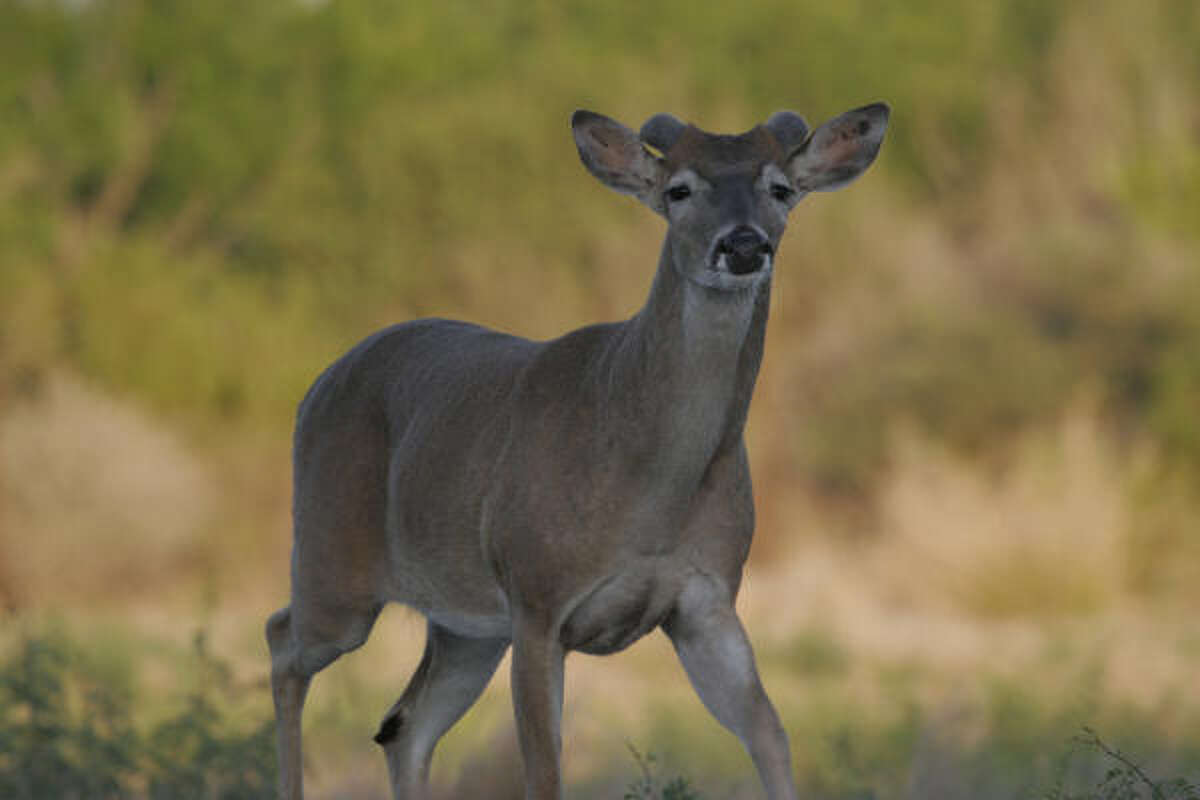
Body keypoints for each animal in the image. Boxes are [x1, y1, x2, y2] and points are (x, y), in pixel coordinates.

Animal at [266, 101, 889, 800]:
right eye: (678, 190)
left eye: (780, 188)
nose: (745, 245)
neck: (649, 487)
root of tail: (316, 387)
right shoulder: (538, 601)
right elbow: (544, 771)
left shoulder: (706, 601)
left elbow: (771, 735)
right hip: (335, 572)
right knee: (282, 641)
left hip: (464, 625)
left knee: (405, 726)